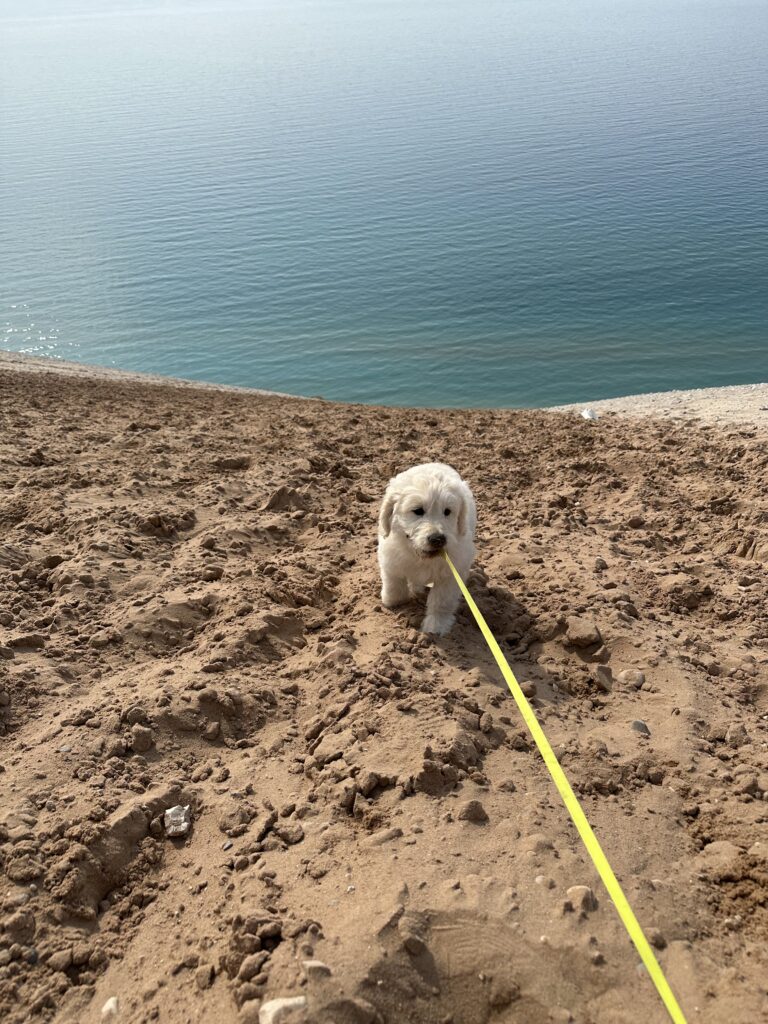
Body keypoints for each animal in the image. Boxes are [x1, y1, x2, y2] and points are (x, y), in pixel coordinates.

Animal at [377, 462, 476, 635]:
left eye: (447, 512)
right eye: (418, 511)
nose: (438, 539)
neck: (421, 558)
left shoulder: (450, 575)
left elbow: (442, 601)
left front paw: (436, 626)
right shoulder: (391, 560)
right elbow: (394, 584)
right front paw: (391, 602)